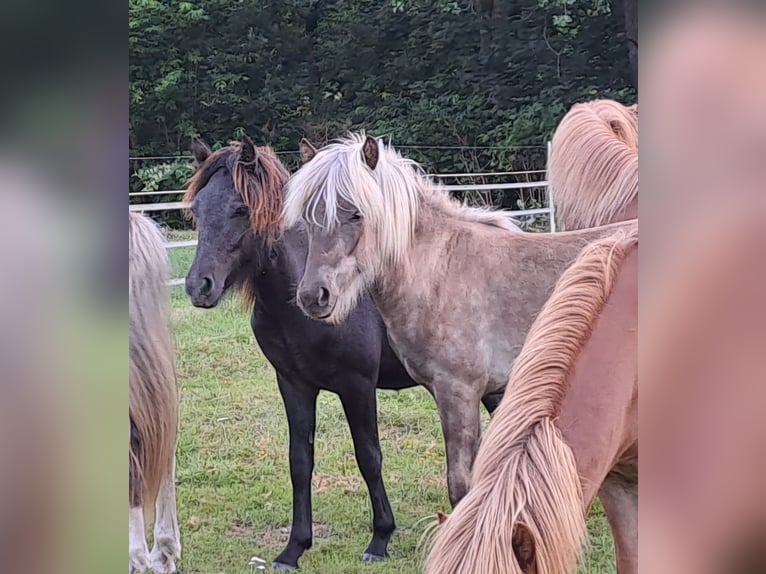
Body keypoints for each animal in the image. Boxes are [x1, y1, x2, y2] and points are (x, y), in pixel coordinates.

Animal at [183, 136, 510, 572]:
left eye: (240, 208)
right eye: (197, 209)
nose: (198, 286)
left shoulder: (357, 387)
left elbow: (369, 457)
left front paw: (380, 538)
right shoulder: (294, 385)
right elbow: (299, 461)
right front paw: (294, 548)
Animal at [284, 134, 640, 508]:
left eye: (356, 214)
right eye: (307, 218)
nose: (313, 296)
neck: (440, 271)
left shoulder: (459, 392)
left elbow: (460, 485)